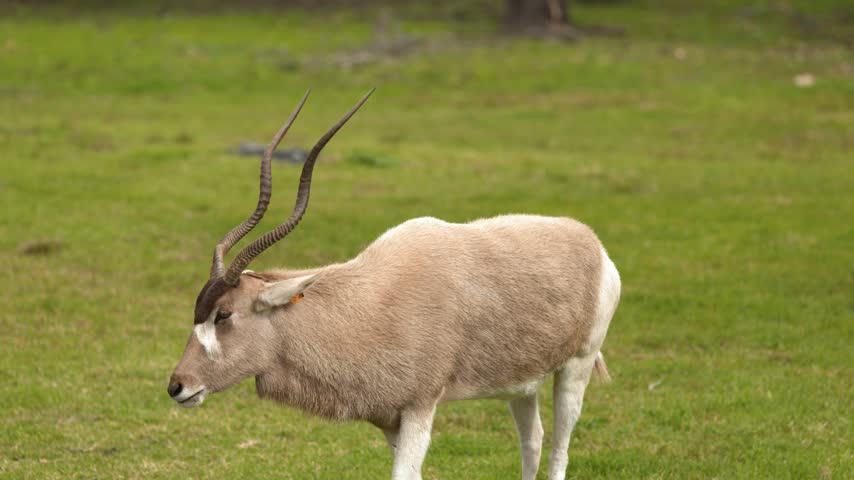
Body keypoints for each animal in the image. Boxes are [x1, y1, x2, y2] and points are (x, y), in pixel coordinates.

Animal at [167, 89, 621, 480]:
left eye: (224, 315)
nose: (177, 386)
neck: (368, 303)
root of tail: (591, 242)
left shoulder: (421, 406)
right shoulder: (389, 417)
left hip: (577, 365)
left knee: (559, 444)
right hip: (520, 383)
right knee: (533, 440)